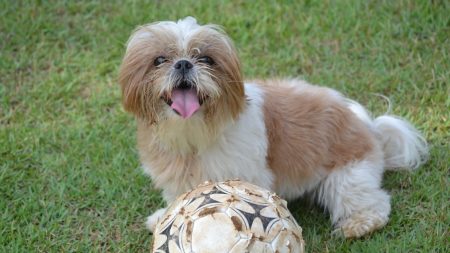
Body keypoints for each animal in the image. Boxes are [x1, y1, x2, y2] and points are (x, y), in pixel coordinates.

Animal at [118, 16, 428, 238]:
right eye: (159, 60)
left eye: (206, 59)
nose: (183, 63)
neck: (195, 133)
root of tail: (369, 126)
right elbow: (181, 200)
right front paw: (165, 217)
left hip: (349, 174)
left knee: (370, 201)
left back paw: (359, 224)